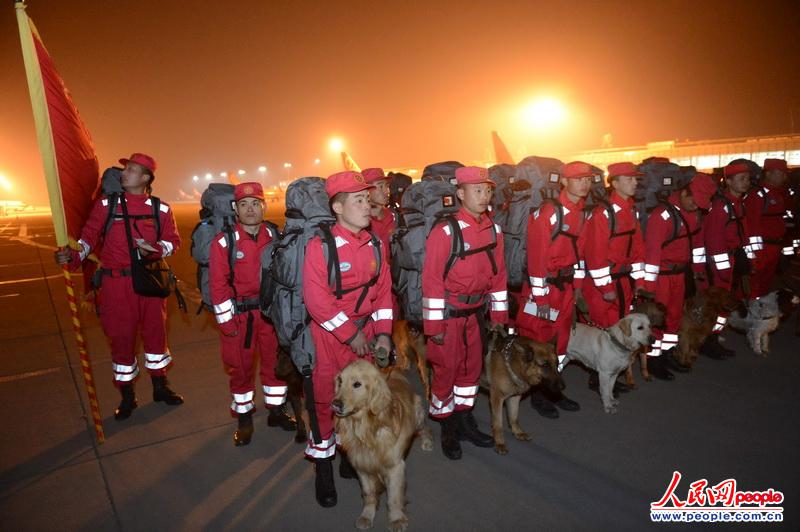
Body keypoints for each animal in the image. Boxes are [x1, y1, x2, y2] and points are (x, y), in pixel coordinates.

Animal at [332, 360, 434, 528]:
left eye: (357, 384)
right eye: (340, 381)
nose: (335, 404)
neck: (366, 430)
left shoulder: (395, 467)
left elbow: (393, 498)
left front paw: (396, 519)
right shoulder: (362, 466)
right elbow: (368, 494)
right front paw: (367, 515)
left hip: (418, 416)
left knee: (425, 428)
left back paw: (427, 441)